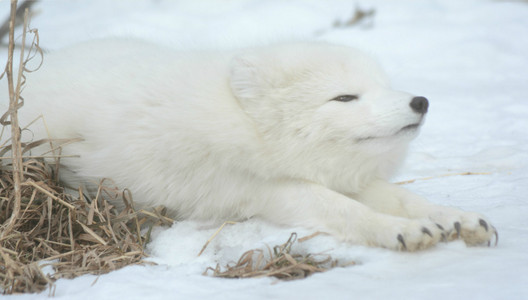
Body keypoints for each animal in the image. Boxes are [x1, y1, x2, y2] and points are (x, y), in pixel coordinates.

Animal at [4, 39, 498, 251]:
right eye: (344, 98)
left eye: (382, 86)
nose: (420, 101)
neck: (249, 123)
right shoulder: (262, 190)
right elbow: (344, 210)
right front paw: (401, 231)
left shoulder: (342, 176)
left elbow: (407, 199)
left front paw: (458, 219)